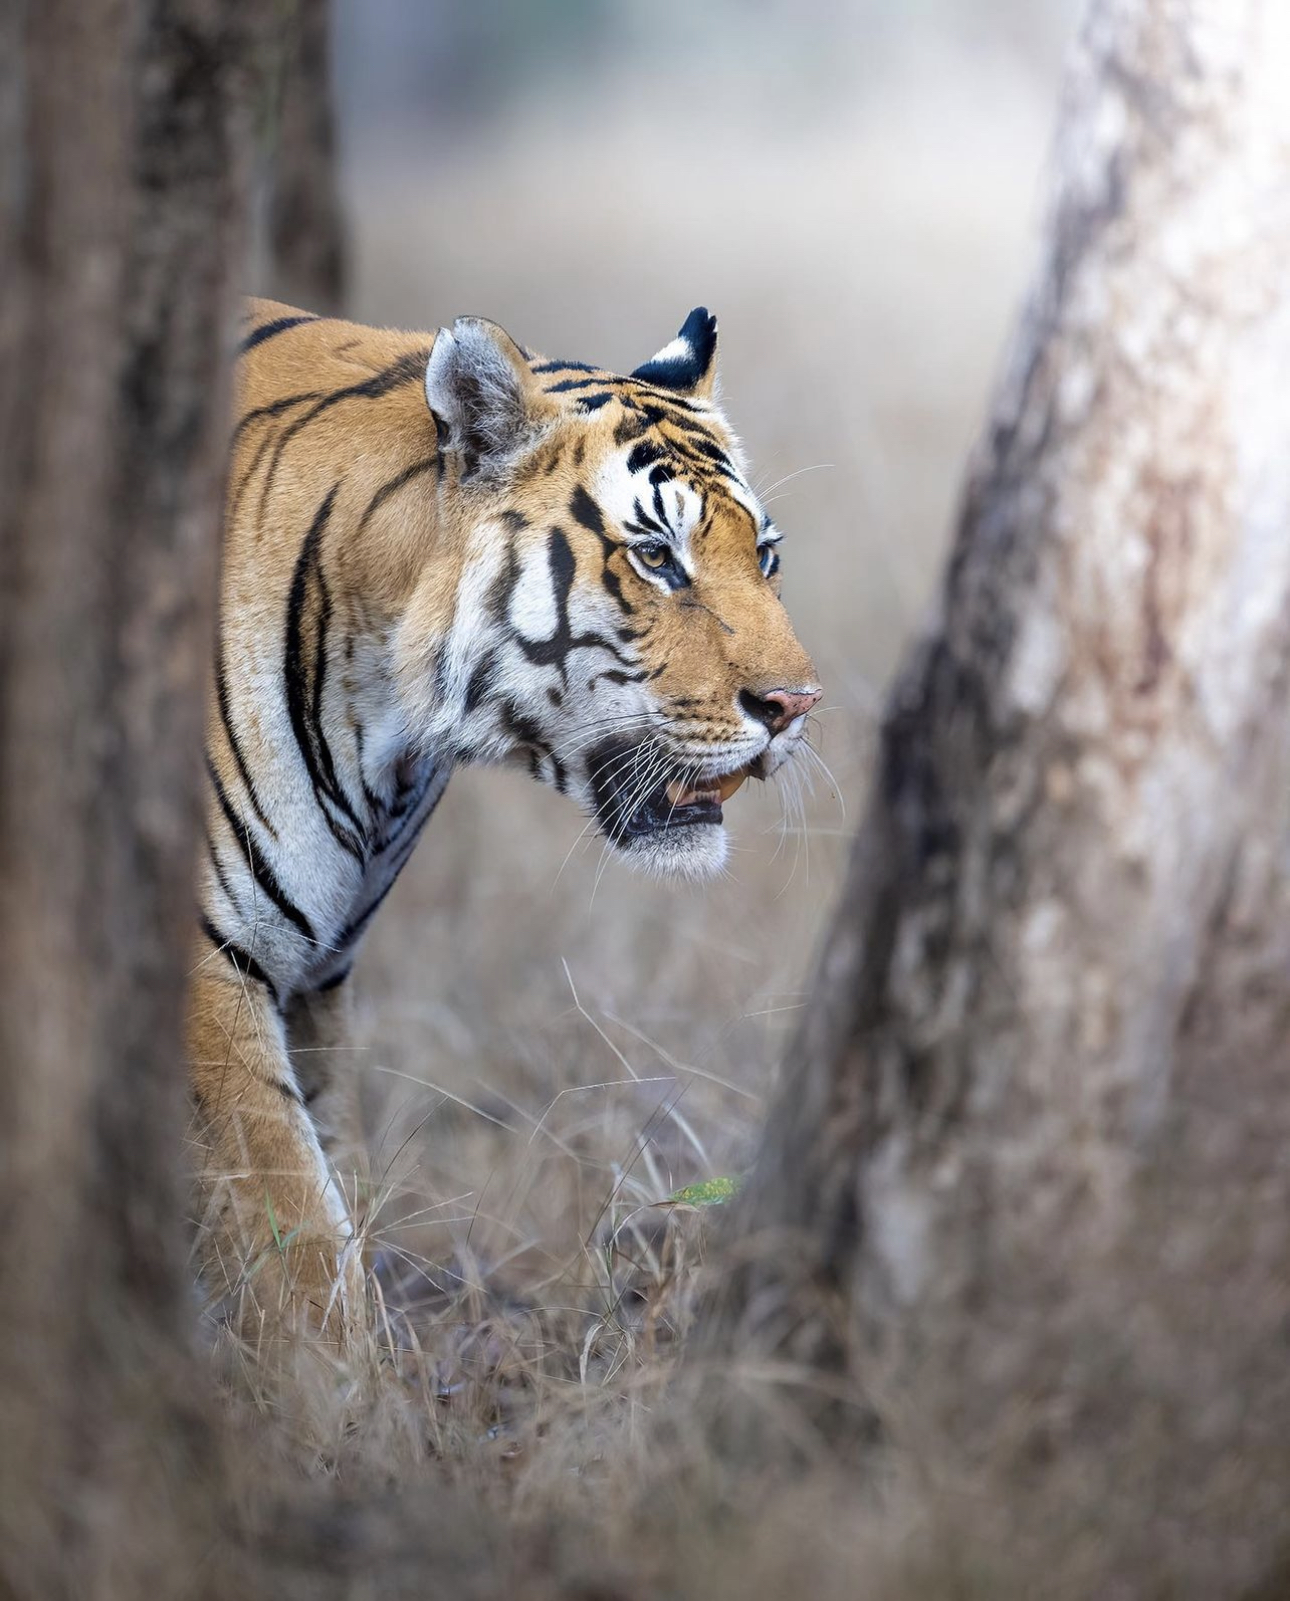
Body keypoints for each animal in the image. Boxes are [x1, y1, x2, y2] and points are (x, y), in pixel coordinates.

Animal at [192, 297, 820, 1341]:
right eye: (657, 557)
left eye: (765, 556)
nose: (798, 705)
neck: (388, 732)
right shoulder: (206, 967)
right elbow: (295, 1241)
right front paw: (342, 1388)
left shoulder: (316, 974)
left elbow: (331, 1167)